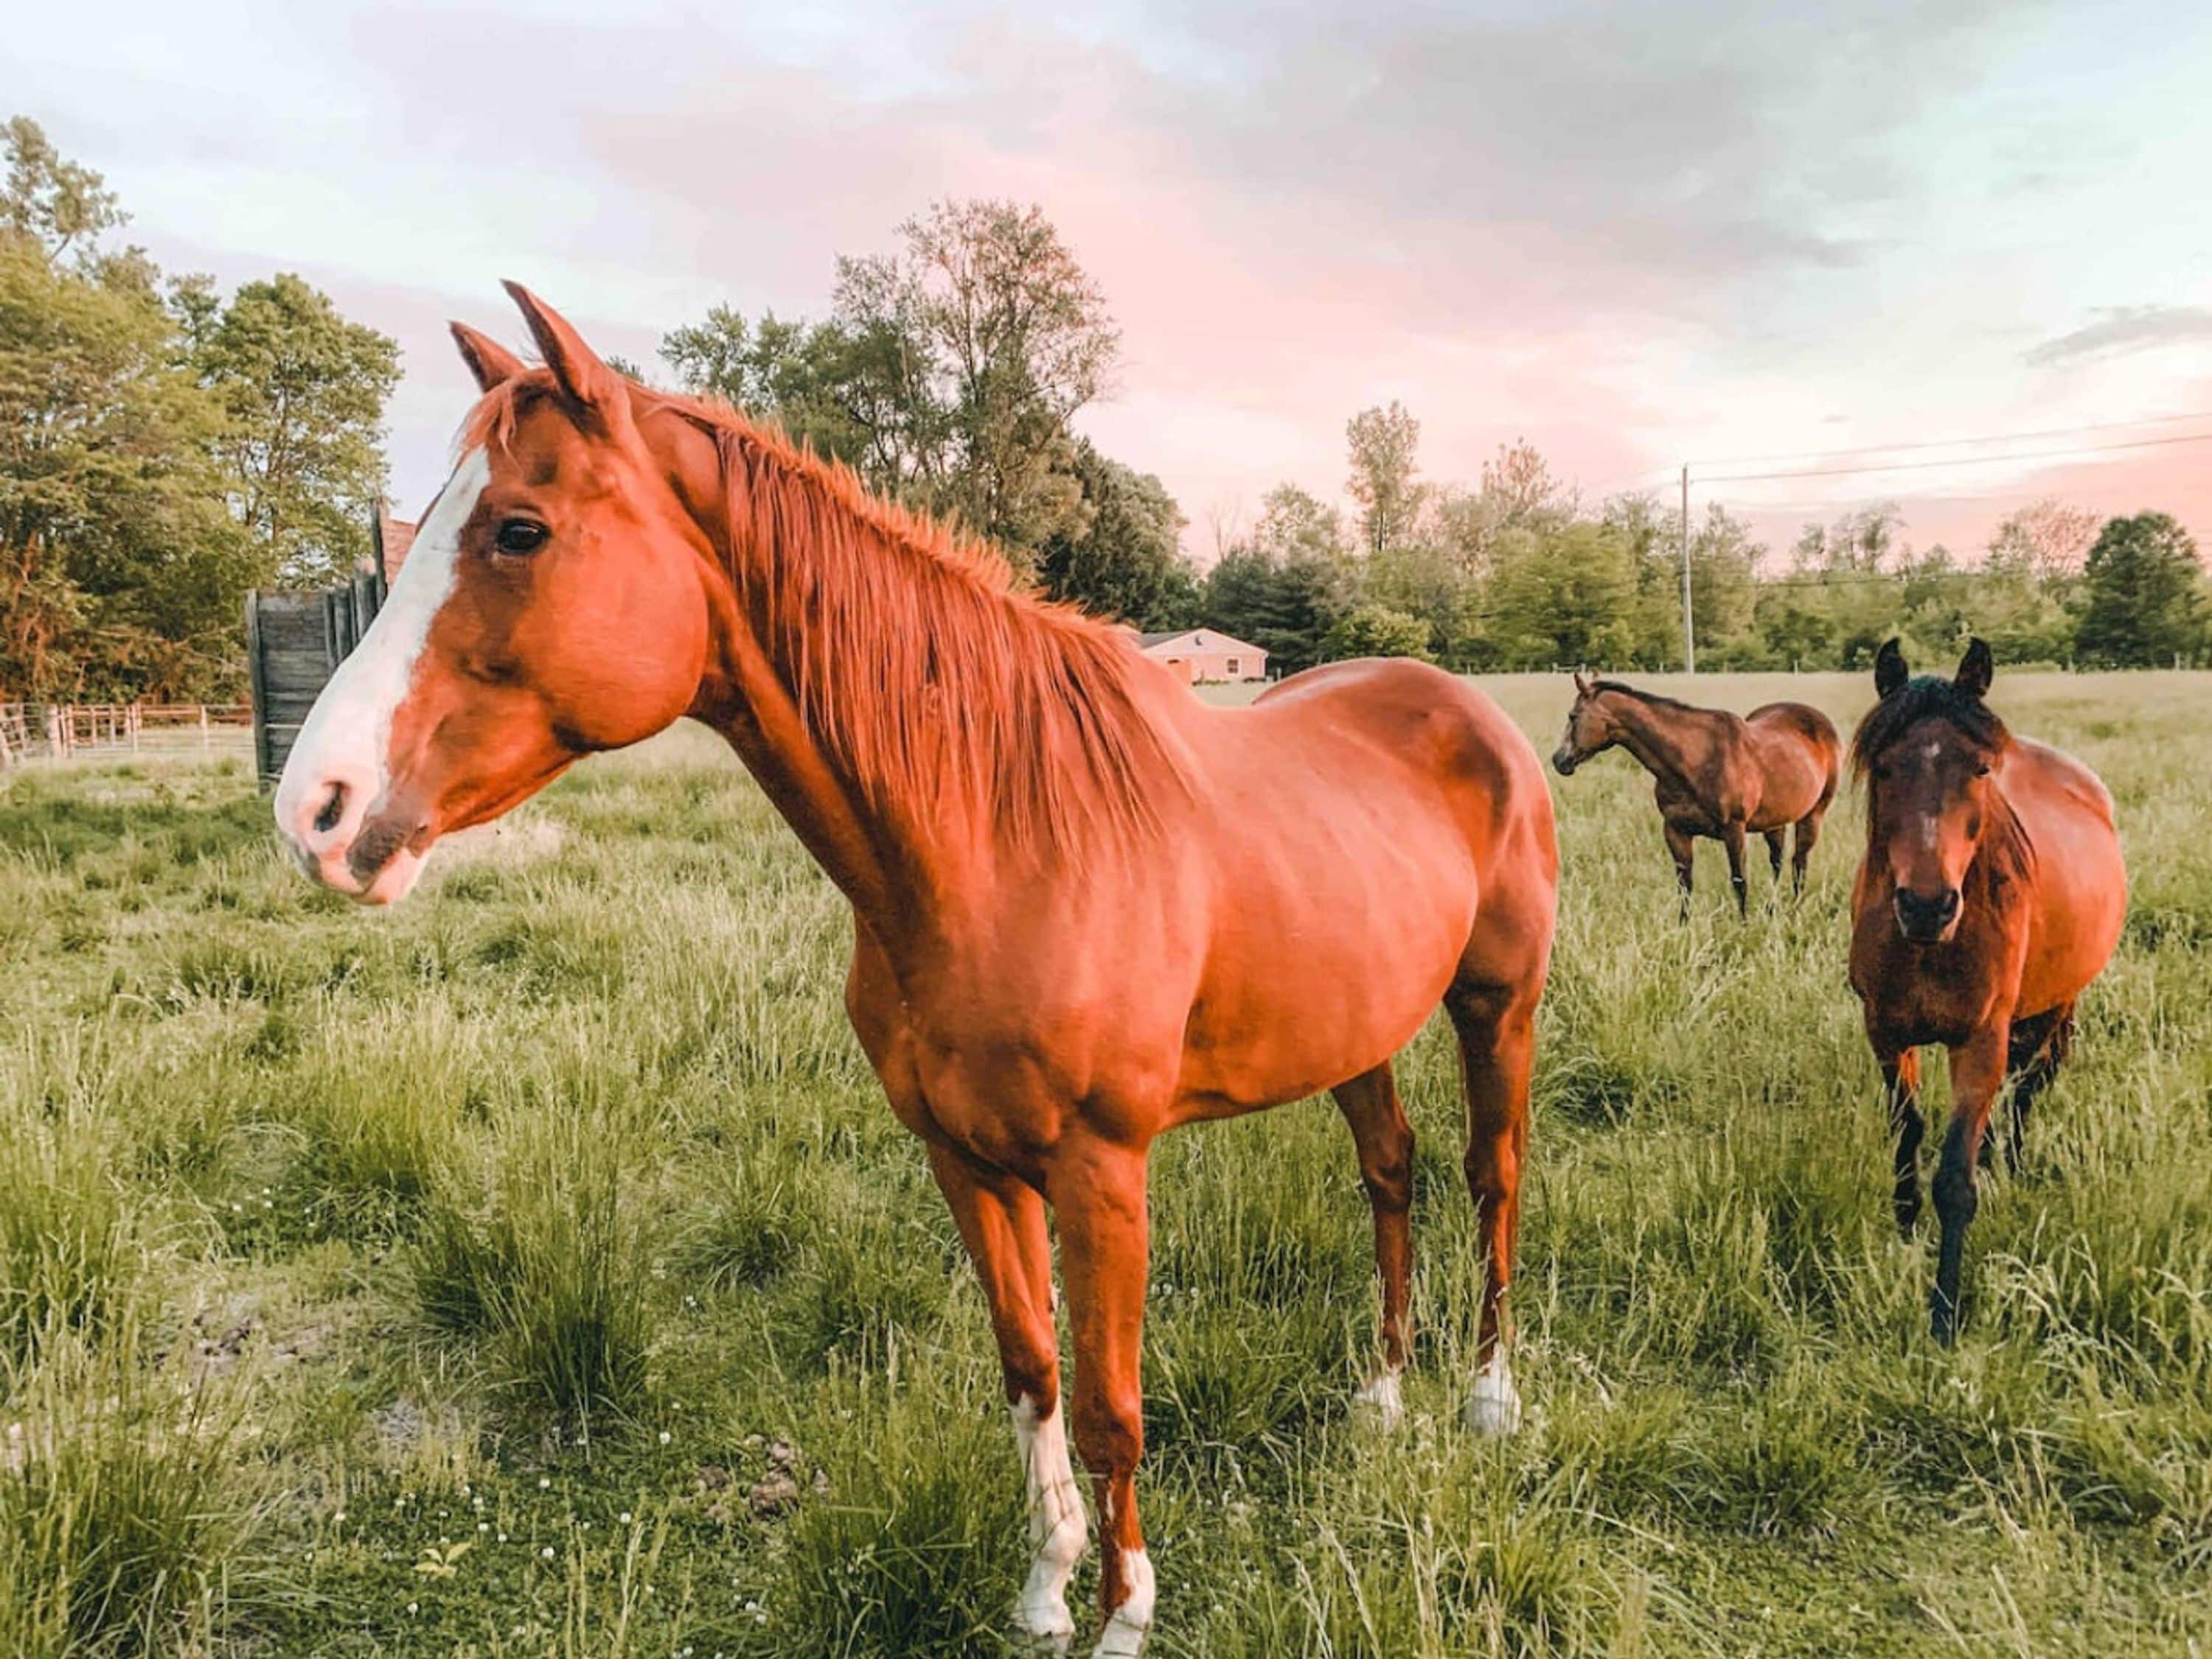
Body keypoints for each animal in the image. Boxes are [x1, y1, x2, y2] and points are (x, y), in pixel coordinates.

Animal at [271, 286, 1560, 1655]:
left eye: (521, 528)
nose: (314, 810)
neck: (1000, 840)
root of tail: (1465, 709)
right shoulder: (964, 1158)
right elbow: (1031, 1370)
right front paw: (1046, 1590)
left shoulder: (1104, 1170)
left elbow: (1110, 1404)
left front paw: (1125, 1615)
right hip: (1357, 1030)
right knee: (1391, 1171)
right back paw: (1383, 1396)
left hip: (1499, 1011)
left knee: (1491, 1176)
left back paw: (1487, 1401)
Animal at [1551, 673, 1839, 913]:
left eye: (1573, 716)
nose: (1559, 760)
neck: (1696, 759)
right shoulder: (1676, 830)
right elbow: (1684, 885)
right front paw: (1683, 930)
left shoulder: (1734, 830)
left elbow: (1739, 882)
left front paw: (1744, 927)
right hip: (1775, 821)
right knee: (1778, 862)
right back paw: (1772, 908)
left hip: (1813, 815)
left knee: (1799, 863)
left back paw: (1794, 909)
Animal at [1848, 638, 2125, 1343]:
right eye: (1884, 767)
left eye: (1978, 770)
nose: (1926, 905)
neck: (1929, 947)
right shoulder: (1886, 1033)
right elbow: (1907, 1135)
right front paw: (1903, 1231)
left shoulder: (1979, 1042)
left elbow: (1955, 1178)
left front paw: (1944, 1316)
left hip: (2057, 1007)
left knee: (2031, 1085)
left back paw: (2014, 1163)